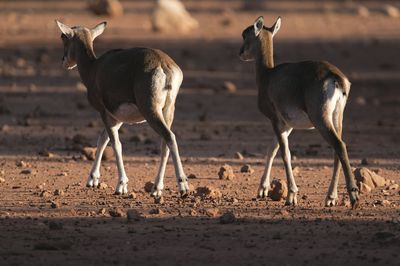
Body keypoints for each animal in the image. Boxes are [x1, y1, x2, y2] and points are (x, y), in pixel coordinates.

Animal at [55, 20, 191, 198]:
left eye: (63, 37)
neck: (94, 68)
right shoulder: (117, 119)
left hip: (151, 111)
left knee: (169, 137)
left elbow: (115, 144)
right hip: (168, 111)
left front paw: (121, 185)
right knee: (164, 143)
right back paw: (156, 188)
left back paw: (183, 186)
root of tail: (163, 63)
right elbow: (102, 140)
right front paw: (92, 179)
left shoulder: (105, 114)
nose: (64, 61)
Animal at [239, 16, 360, 208]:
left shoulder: (276, 121)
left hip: (321, 120)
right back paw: (330, 198)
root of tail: (336, 77)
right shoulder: (287, 126)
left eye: (245, 34)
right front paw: (263, 189)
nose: (241, 52)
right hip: (336, 118)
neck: (268, 76)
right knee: (337, 150)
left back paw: (353, 196)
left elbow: (285, 154)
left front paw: (291, 196)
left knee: (339, 145)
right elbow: (272, 149)